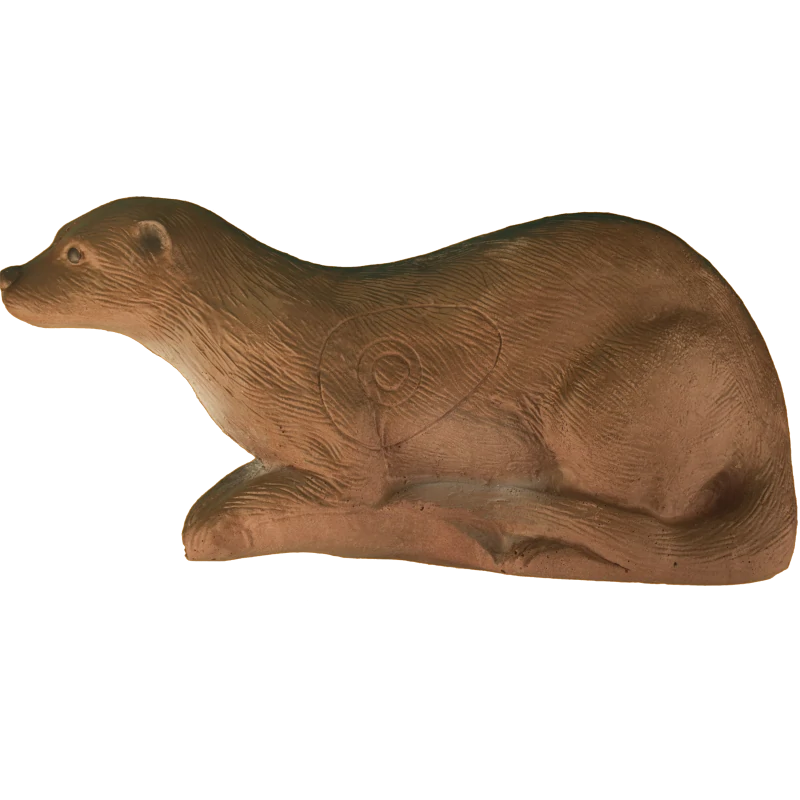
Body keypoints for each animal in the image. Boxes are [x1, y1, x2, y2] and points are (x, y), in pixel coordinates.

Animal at [1, 198, 795, 584]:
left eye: (75, 254)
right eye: (53, 237)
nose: (9, 275)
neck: (253, 340)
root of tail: (768, 416)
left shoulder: (332, 417)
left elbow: (355, 487)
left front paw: (225, 516)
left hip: (639, 381)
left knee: (657, 517)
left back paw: (532, 539)